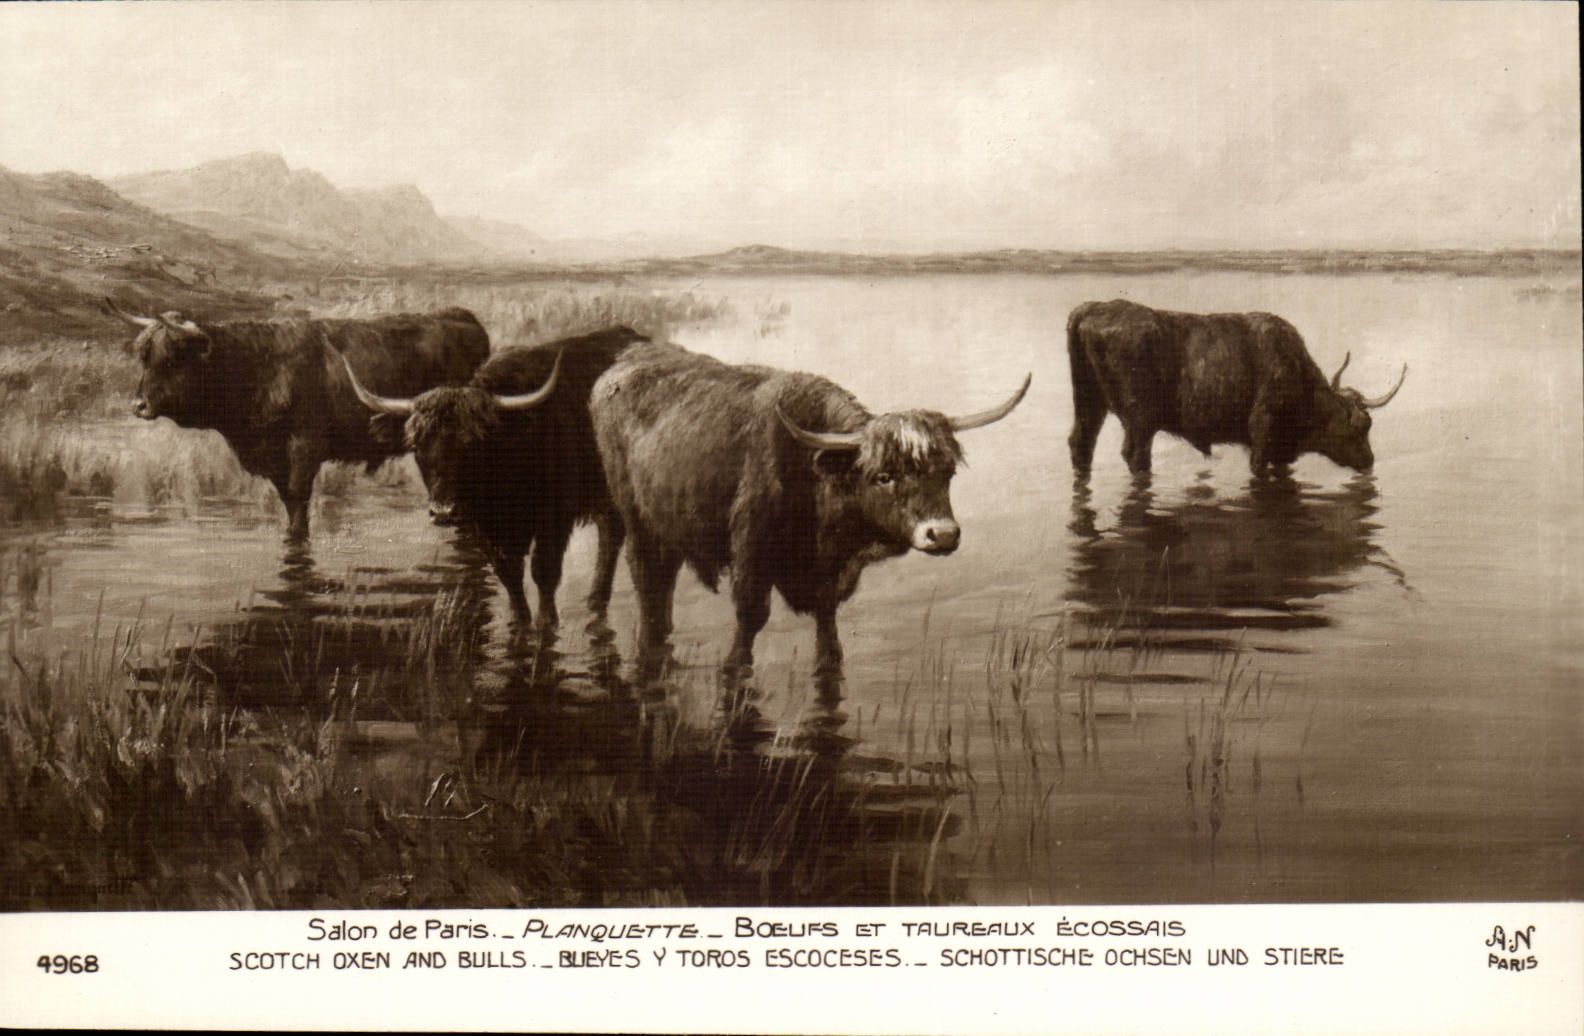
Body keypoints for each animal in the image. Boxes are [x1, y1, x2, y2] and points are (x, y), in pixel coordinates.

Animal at [109, 301, 490, 541]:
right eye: (144, 357)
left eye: (173, 359)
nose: (139, 405)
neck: (259, 368)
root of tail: (463, 317)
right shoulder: (274, 456)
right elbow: (287, 501)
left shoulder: (304, 449)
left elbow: (297, 502)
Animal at [338, 326, 646, 629]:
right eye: (416, 445)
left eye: (473, 444)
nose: (443, 512)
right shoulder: (483, 527)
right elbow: (508, 574)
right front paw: (518, 621)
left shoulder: (555, 519)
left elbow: (543, 572)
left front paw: (546, 622)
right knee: (610, 535)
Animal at [589, 340, 1030, 680]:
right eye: (884, 476)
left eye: (947, 472)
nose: (942, 534)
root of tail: (620, 367)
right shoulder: (751, 554)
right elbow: (749, 623)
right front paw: (734, 669)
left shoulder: (828, 576)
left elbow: (828, 634)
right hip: (635, 518)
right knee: (643, 574)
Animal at [1066, 299, 1406, 479]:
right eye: (1362, 426)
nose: (1369, 461)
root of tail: (1092, 309)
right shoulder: (1262, 434)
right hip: (1140, 421)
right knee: (1135, 455)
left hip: (1090, 404)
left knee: (1081, 442)